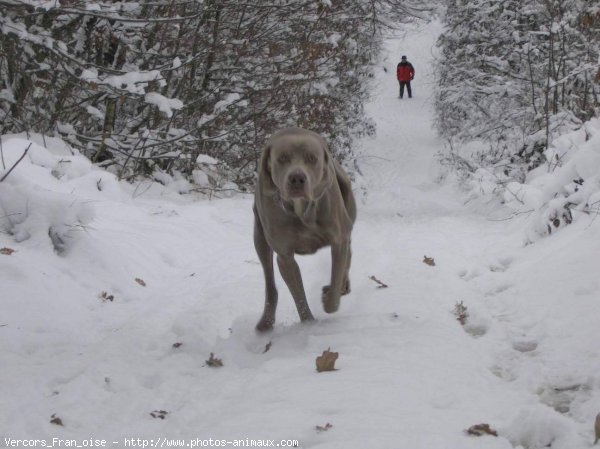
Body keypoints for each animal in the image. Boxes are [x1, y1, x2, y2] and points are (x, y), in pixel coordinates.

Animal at [253, 126, 356, 328]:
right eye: (282, 158)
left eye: (312, 158)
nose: (297, 178)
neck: (300, 209)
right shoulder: (285, 256)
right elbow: (298, 294)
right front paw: (308, 322)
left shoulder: (338, 239)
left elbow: (337, 274)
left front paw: (329, 298)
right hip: (259, 235)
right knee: (269, 279)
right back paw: (266, 321)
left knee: (348, 252)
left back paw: (342, 286)